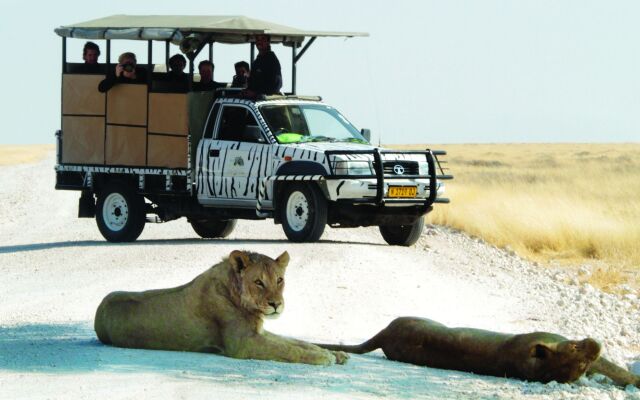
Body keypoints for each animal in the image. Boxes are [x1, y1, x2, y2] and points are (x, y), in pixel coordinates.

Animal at [93, 250, 348, 366]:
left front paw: (335, 353)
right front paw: (324, 357)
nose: (276, 304)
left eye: (279, 280)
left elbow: (297, 342)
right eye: (258, 282)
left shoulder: (257, 332)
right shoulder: (243, 343)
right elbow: (287, 349)